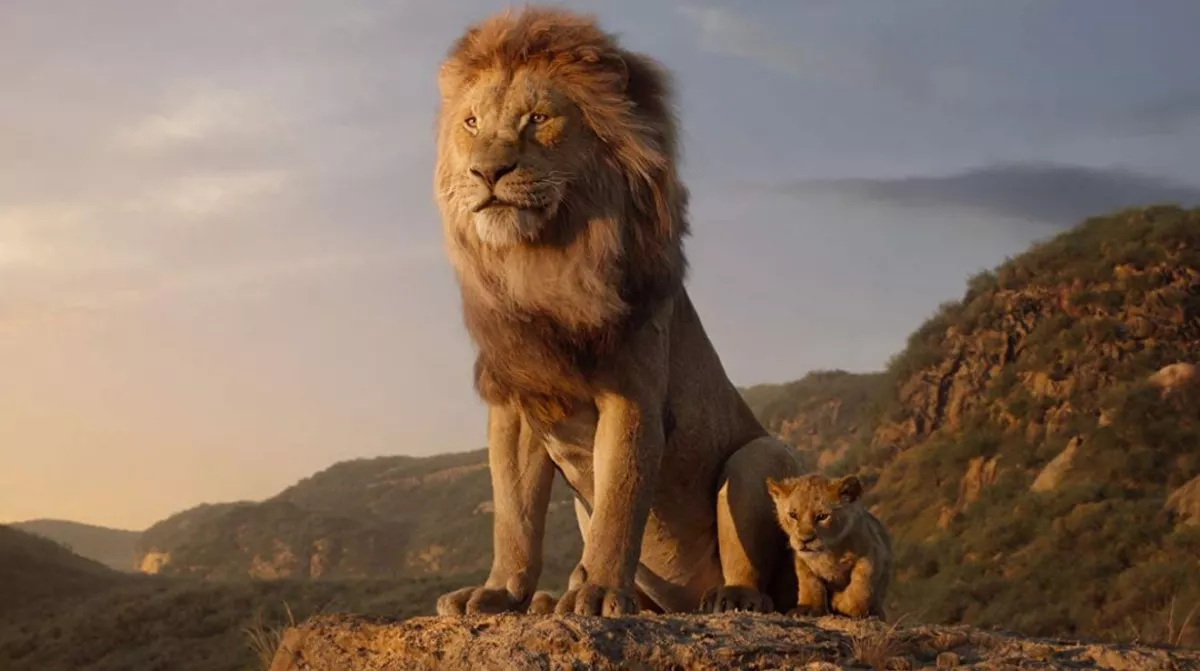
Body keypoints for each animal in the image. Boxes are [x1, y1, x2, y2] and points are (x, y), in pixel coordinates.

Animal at [431, 6, 802, 617]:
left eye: (538, 118)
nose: (487, 172)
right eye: (471, 123)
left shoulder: (632, 396)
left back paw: (730, 598)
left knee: (761, 574)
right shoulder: (516, 403)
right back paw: (550, 600)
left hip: (760, 457)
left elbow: (620, 505)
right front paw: (499, 592)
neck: (542, 264)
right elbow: (514, 516)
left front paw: (600, 592)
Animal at [766, 474, 892, 619]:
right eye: (793, 515)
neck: (828, 552)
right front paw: (807, 608)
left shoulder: (872, 551)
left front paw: (842, 603)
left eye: (822, 516)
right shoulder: (802, 560)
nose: (804, 540)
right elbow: (809, 583)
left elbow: (861, 582)